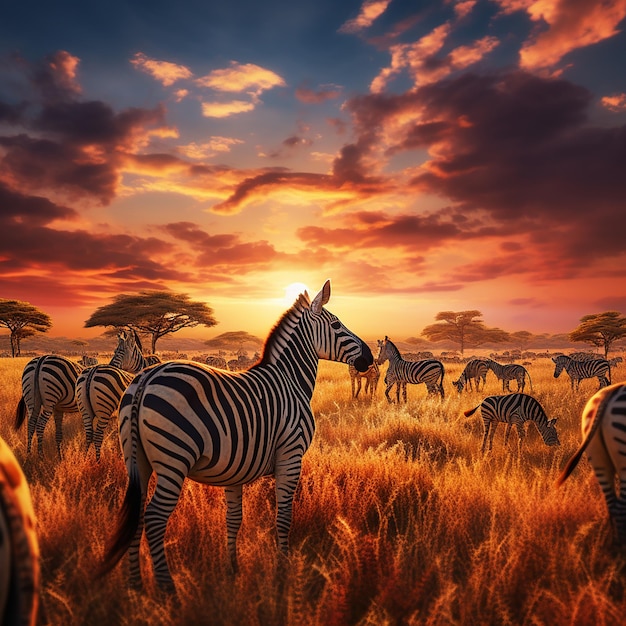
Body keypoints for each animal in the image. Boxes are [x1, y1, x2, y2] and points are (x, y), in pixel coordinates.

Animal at [75, 326, 161, 458]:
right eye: (115, 351)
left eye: (120, 351)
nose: (111, 365)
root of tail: (92, 371)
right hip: (104, 410)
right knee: (98, 437)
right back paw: (98, 461)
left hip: (85, 411)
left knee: (88, 436)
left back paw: (84, 459)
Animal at [98, 280, 370, 592]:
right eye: (336, 325)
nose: (369, 357)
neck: (290, 380)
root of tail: (145, 378)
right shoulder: (290, 455)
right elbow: (284, 518)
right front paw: (283, 571)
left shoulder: (235, 468)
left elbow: (233, 519)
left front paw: (233, 570)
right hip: (173, 459)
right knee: (154, 519)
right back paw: (168, 590)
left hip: (135, 458)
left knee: (137, 515)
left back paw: (136, 586)